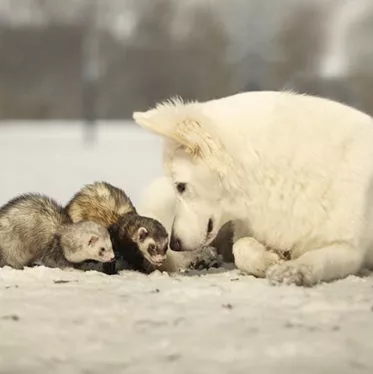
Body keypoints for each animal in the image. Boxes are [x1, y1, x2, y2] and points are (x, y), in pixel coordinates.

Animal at [132, 91, 373, 286]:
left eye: (181, 186)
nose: (175, 243)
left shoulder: (349, 248)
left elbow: (317, 258)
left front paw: (293, 269)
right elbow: (241, 248)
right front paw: (268, 260)